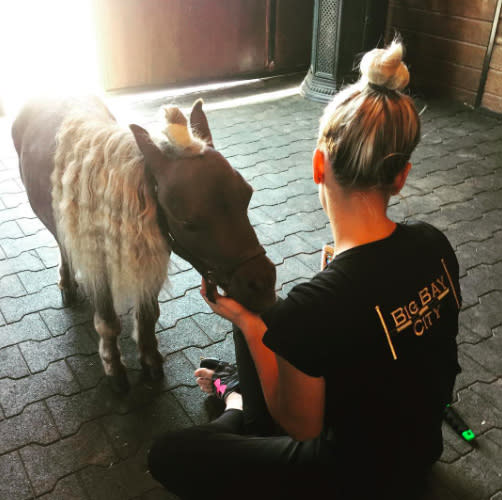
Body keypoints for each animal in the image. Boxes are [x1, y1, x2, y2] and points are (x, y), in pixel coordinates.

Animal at [11, 94, 276, 390]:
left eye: (247, 195)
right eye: (188, 222)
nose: (263, 284)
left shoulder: (152, 255)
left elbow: (148, 316)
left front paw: (150, 359)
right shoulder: (97, 263)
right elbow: (107, 322)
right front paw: (114, 366)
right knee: (63, 245)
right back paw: (67, 284)